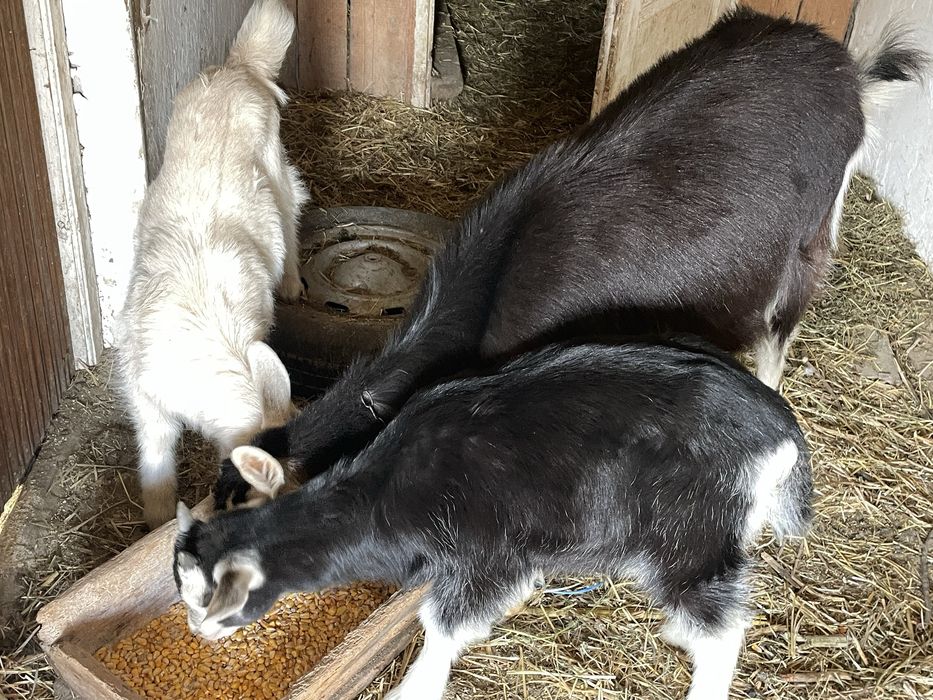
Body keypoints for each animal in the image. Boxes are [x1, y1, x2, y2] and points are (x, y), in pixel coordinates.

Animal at [118, 0, 309, 528]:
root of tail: (238, 67)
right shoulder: (146, 399)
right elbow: (156, 462)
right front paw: (158, 518)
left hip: (276, 167)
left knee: (292, 213)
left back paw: (292, 283)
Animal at [180, 338, 812, 700]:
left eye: (217, 597)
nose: (198, 632)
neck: (386, 491)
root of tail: (781, 433)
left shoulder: (488, 553)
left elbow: (442, 625)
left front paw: (414, 689)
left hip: (689, 529)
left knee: (721, 623)